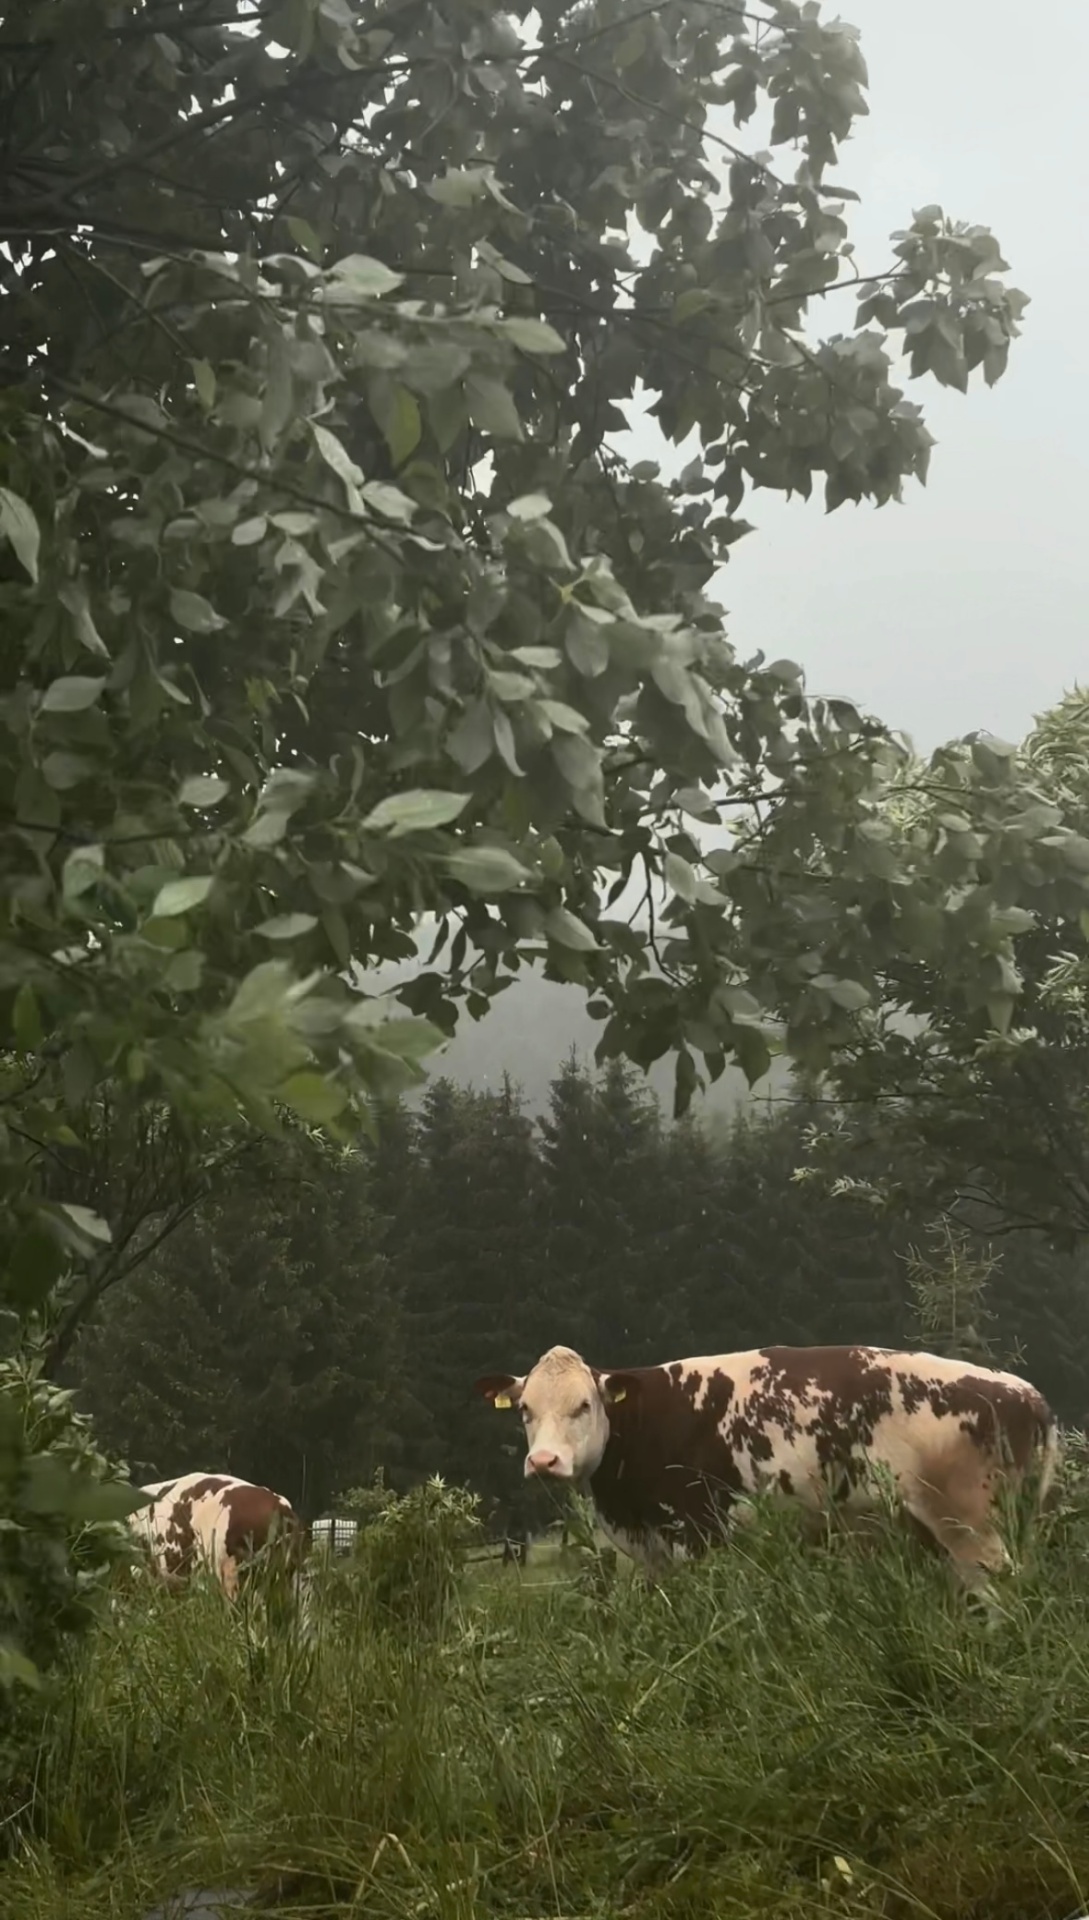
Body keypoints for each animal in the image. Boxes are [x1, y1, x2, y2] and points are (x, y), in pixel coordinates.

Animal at [472, 1343, 1059, 1597]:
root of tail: (1022, 1390)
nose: (544, 1461)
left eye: (584, 1406)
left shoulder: (698, 1534)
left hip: (972, 1528)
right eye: (525, 1410)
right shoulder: (657, 1550)